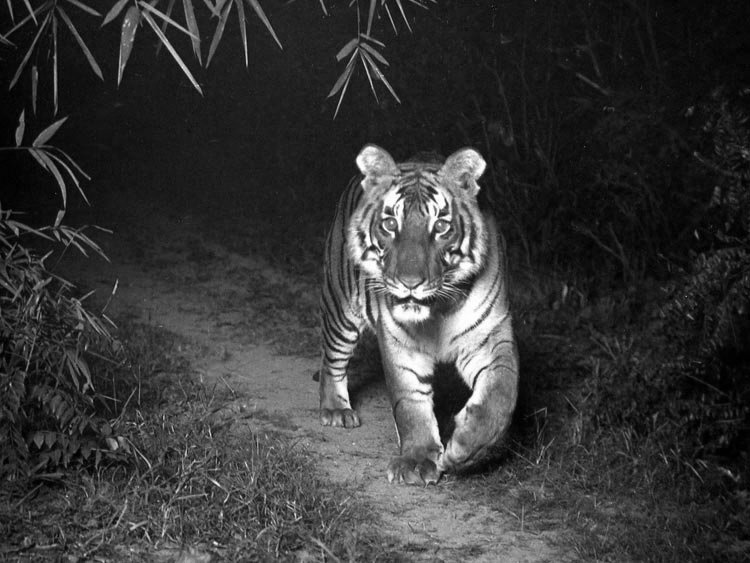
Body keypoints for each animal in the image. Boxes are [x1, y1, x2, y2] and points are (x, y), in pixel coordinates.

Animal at [319, 144, 519, 485]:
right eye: (390, 224)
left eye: (440, 226)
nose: (409, 282)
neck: (438, 309)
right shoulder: (401, 345)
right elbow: (410, 402)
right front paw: (416, 461)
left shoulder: (490, 337)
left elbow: (501, 394)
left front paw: (464, 447)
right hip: (340, 310)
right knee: (332, 360)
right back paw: (336, 410)